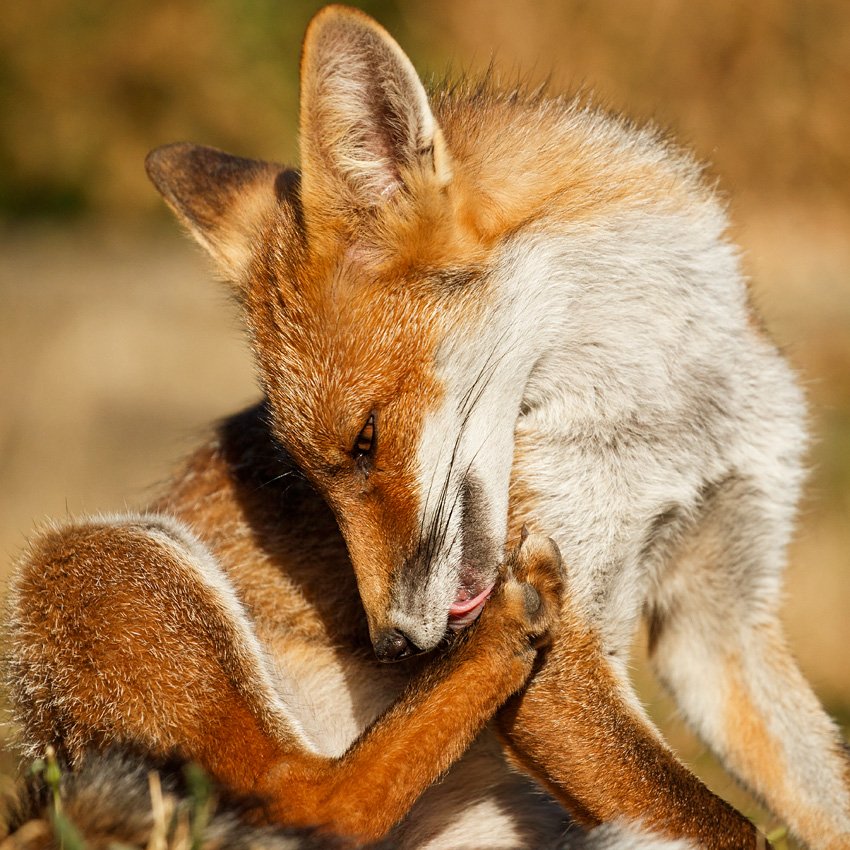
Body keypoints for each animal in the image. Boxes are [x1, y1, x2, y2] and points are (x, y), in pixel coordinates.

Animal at [5, 4, 850, 849]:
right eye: (306, 478)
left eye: (366, 441)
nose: (396, 645)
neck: (669, 418)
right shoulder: (566, 666)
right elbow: (729, 827)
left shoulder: (720, 623)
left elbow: (822, 797)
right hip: (100, 556)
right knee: (308, 798)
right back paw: (499, 637)